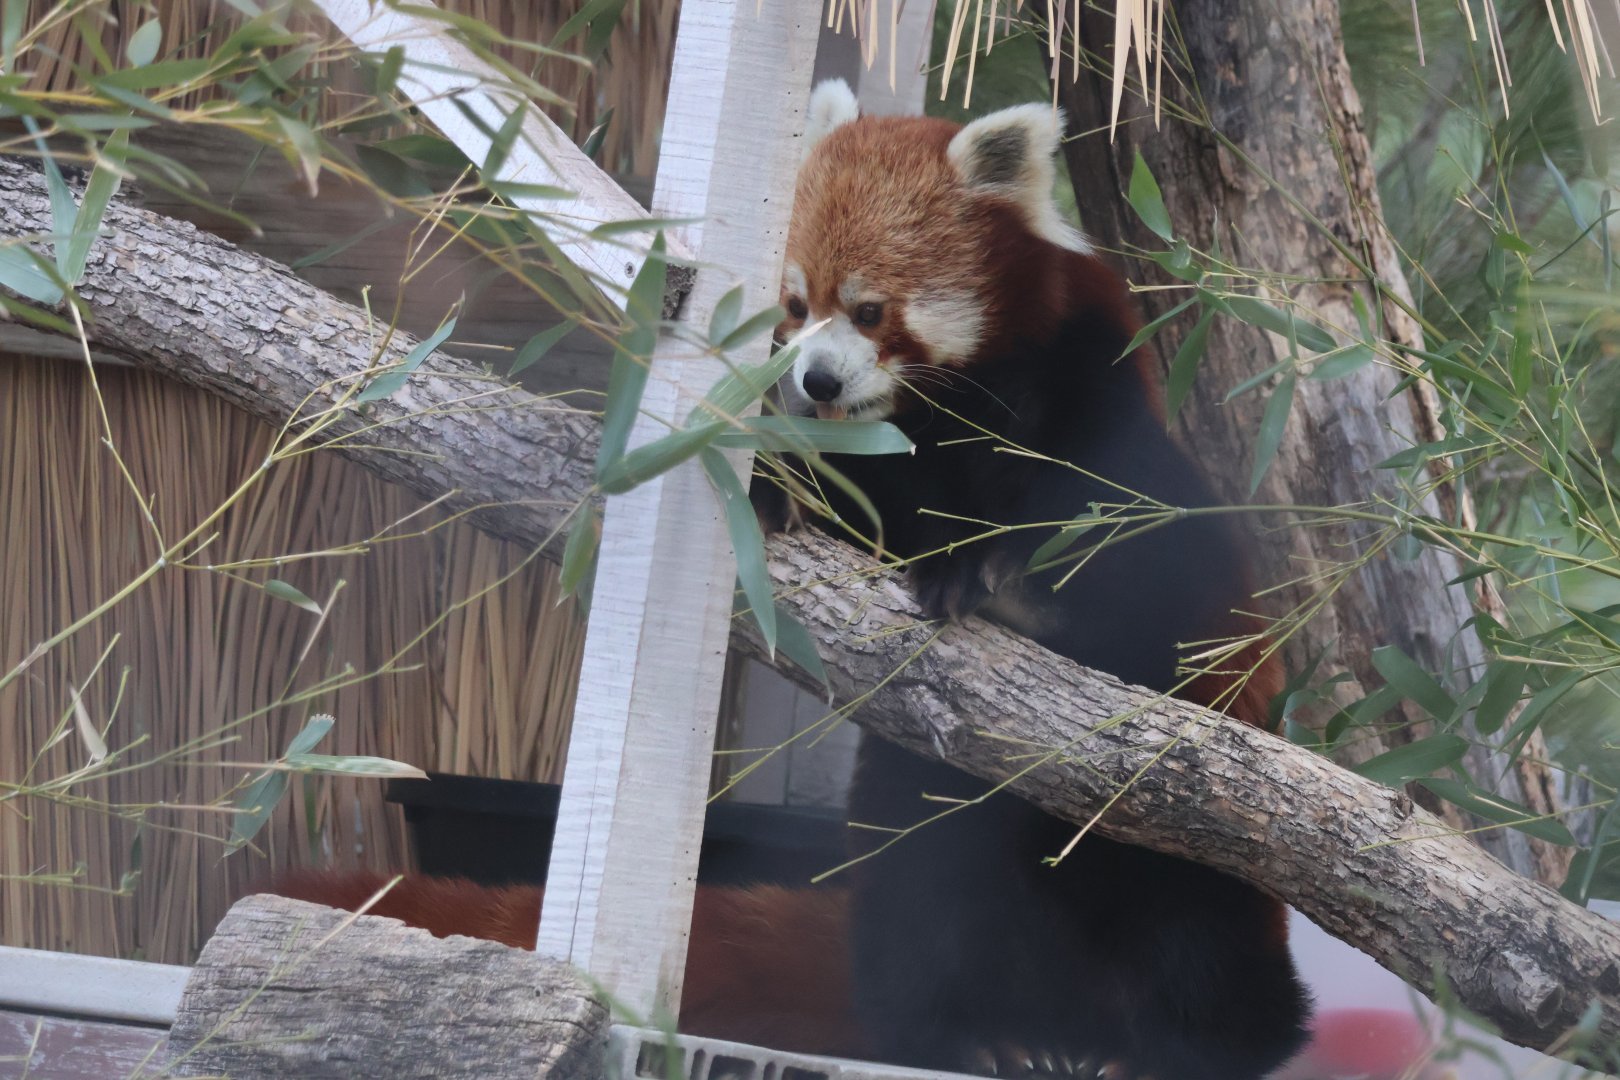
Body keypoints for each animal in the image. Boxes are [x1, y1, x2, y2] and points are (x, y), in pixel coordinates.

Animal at [753, 79, 1312, 1080]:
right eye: (797, 301)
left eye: (868, 311)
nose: (814, 381)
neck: (943, 420)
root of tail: (1072, 1017)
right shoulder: (885, 463)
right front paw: (775, 484)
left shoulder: (1097, 414)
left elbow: (1130, 566)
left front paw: (992, 576)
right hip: (926, 819)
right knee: (915, 901)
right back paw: (968, 1036)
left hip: (1200, 862)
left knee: (1204, 945)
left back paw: (1183, 1046)